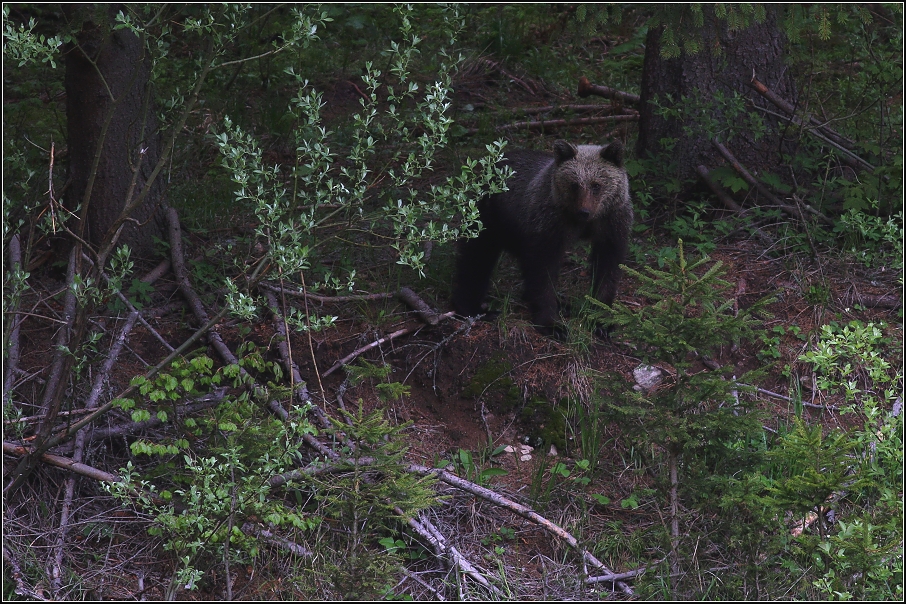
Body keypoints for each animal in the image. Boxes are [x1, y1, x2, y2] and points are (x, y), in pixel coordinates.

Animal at [450, 138, 632, 336]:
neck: (583, 225)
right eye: (574, 184)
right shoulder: (550, 225)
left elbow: (608, 269)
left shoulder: (611, 224)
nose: (584, 211)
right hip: (490, 216)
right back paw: (472, 308)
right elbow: (543, 273)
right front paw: (552, 325)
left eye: (596, 185)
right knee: (477, 256)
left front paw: (602, 322)